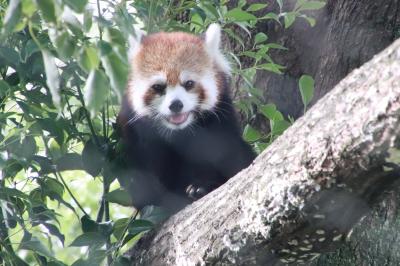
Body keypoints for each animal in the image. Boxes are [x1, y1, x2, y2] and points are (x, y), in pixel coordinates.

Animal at [117, 24, 255, 212]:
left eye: (189, 84)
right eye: (158, 87)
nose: (176, 104)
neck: (179, 132)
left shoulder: (219, 128)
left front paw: (201, 187)